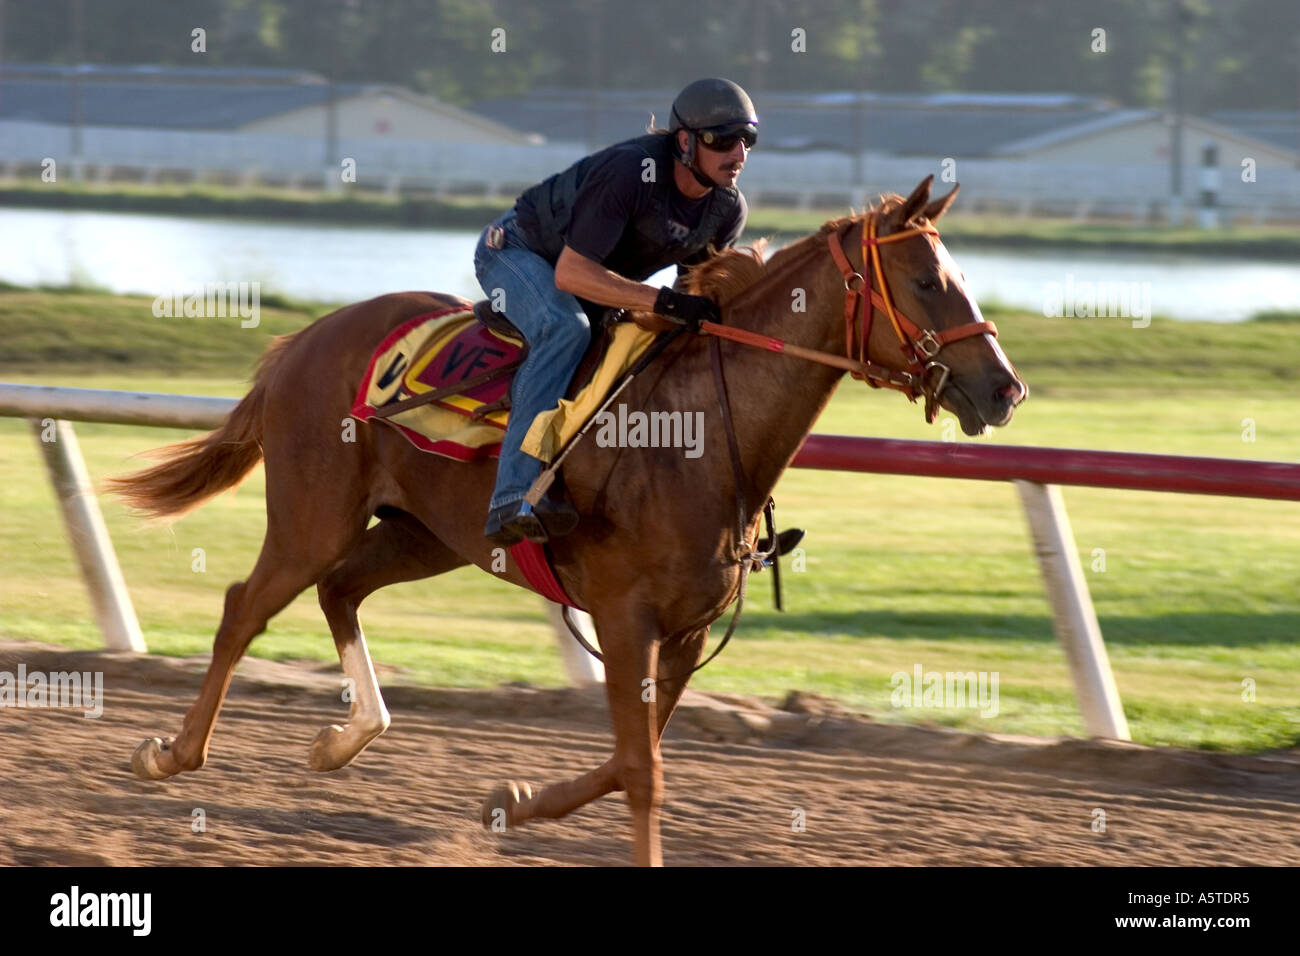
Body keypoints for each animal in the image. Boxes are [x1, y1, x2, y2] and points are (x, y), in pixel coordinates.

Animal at [106, 175, 1026, 866]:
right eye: (927, 282)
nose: (1004, 389)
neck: (699, 430)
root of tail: (301, 339)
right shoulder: (625, 615)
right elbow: (642, 770)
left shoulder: (684, 630)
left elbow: (628, 760)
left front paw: (514, 799)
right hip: (313, 514)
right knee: (246, 606)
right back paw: (173, 753)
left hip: (425, 534)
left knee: (340, 591)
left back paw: (347, 736)